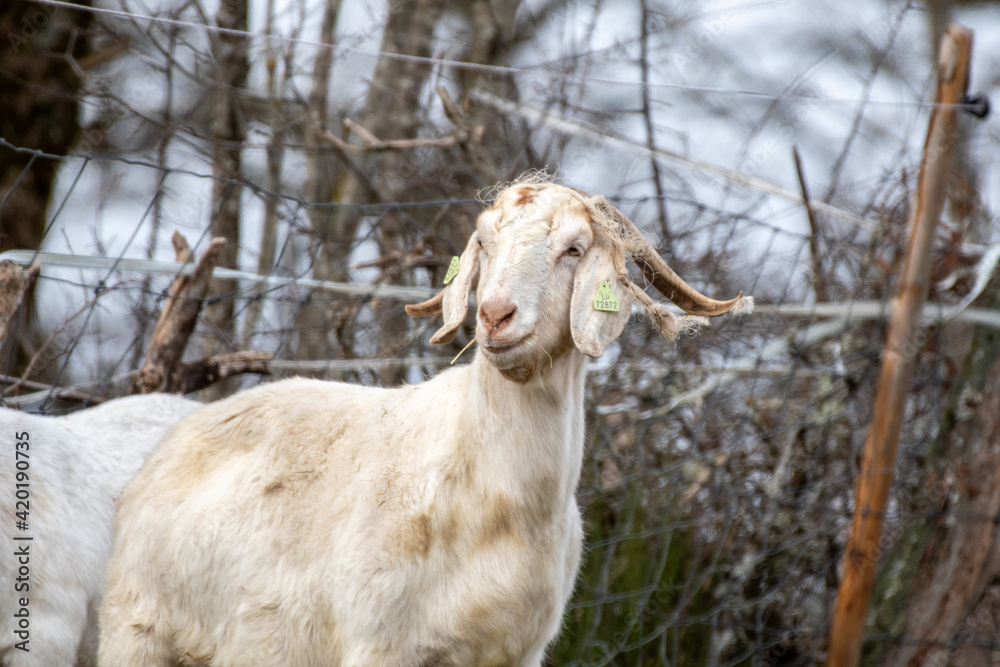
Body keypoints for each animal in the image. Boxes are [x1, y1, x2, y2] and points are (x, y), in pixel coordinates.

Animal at [98, 181, 751, 666]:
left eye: (573, 249)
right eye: (484, 243)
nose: (495, 315)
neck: (496, 498)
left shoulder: (515, 653)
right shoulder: (378, 643)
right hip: (134, 632)